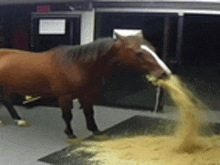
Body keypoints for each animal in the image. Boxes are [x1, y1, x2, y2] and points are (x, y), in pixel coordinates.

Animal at [0, 33, 171, 138]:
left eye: (153, 49)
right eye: (138, 53)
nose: (165, 73)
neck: (77, 65)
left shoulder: (87, 94)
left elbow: (89, 113)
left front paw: (95, 130)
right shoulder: (65, 97)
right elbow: (67, 115)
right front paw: (69, 133)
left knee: (7, 102)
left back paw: (18, 120)